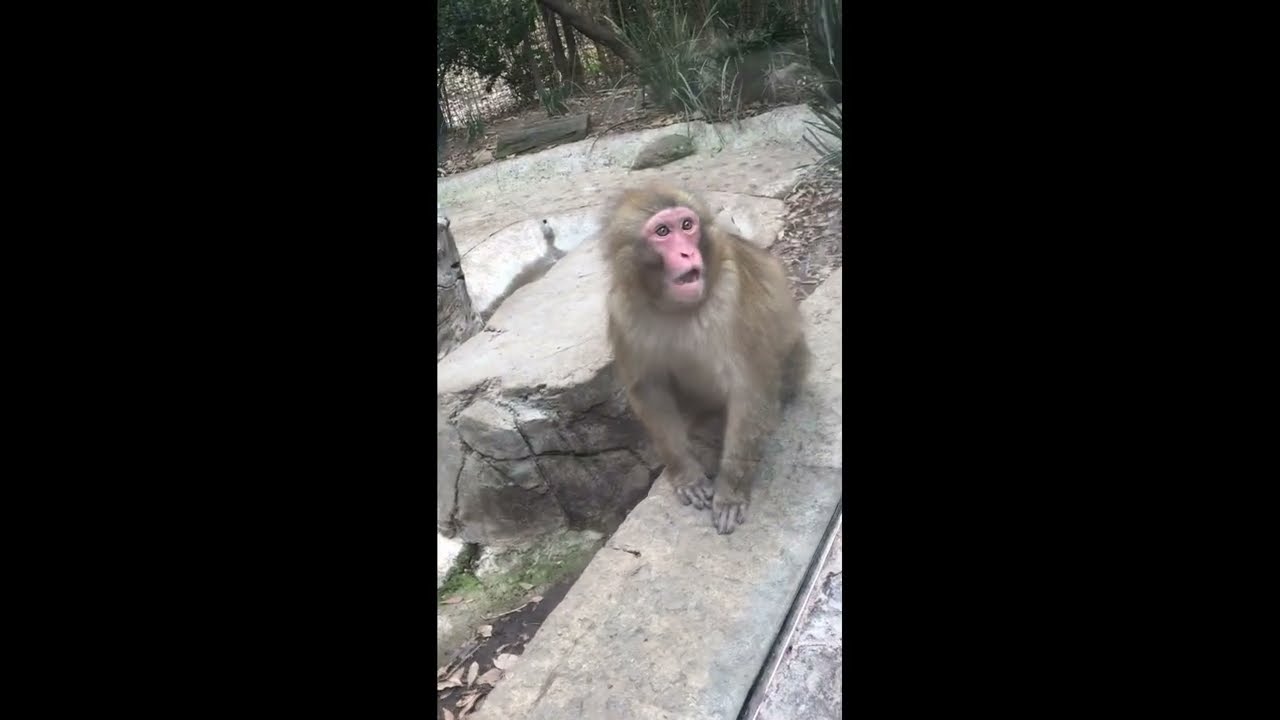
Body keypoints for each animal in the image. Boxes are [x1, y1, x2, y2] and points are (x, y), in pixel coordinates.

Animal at [603, 183, 809, 535]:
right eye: (662, 231)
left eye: (687, 225)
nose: (687, 254)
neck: (676, 308)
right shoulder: (621, 308)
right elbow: (650, 389)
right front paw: (687, 475)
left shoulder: (732, 293)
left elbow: (750, 388)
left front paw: (730, 492)